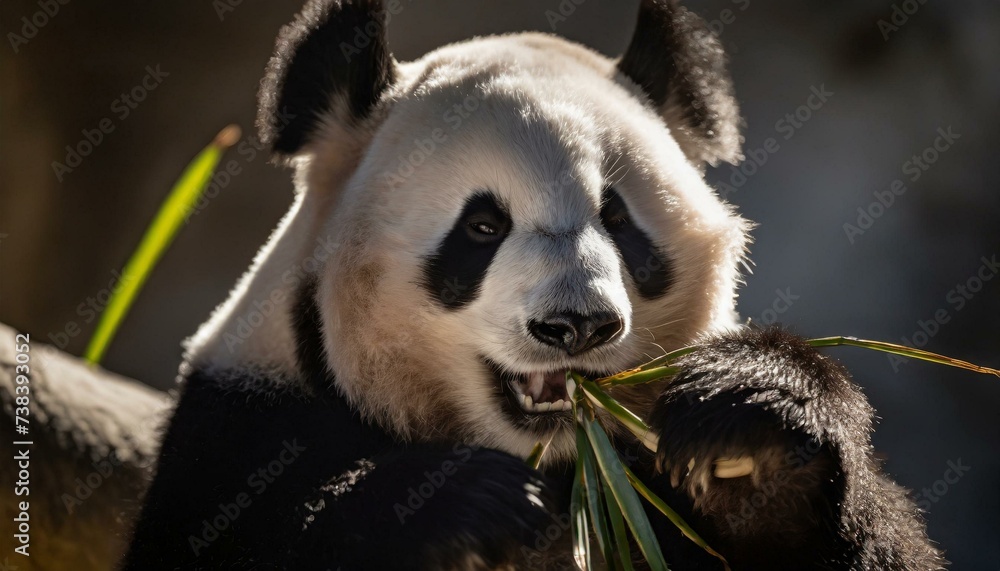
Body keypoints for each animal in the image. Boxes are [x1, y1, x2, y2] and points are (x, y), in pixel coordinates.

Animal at [122, 0, 945, 569]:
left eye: (618, 219)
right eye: (482, 226)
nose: (575, 324)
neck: (558, 465)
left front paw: (755, 422)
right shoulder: (240, 429)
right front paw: (466, 509)